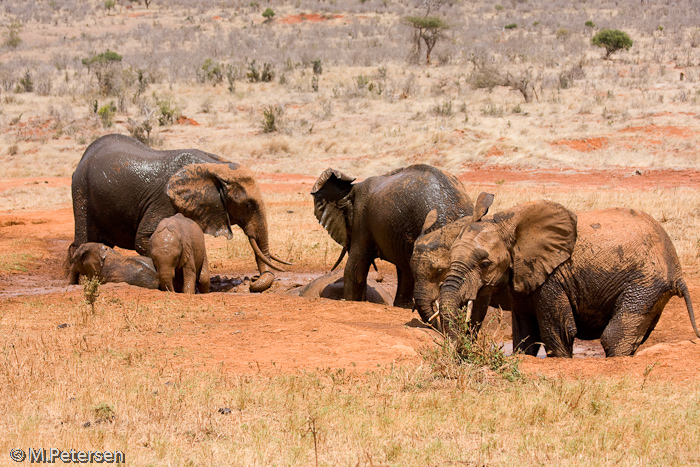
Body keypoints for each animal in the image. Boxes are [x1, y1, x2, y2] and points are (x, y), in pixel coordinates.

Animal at [69, 133, 288, 292]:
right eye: (247, 205)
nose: (253, 279)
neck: (214, 166)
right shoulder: (164, 200)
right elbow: (143, 238)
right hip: (81, 191)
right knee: (81, 242)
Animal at [438, 200, 700, 358]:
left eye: (485, 264)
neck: (508, 223)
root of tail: (677, 272)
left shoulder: (552, 277)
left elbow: (559, 330)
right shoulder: (523, 276)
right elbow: (525, 332)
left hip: (644, 284)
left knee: (614, 337)